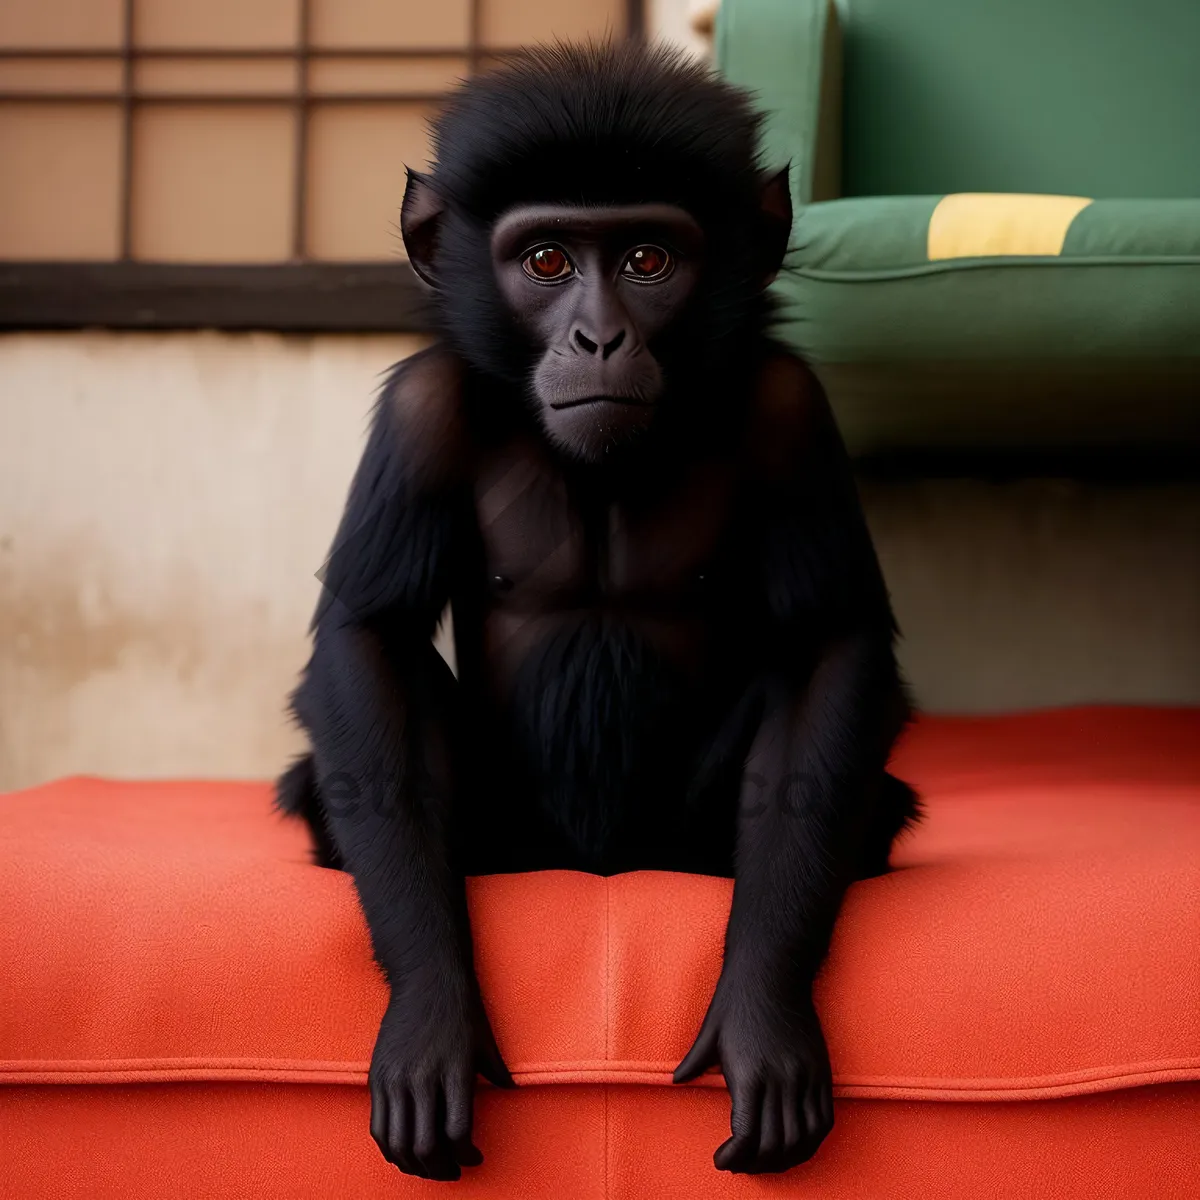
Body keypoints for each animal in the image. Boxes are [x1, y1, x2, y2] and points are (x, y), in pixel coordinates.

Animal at [280, 39, 916, 1180]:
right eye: (544, 262)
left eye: (647, 262)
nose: (599, 336)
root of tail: (597, 866)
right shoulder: (425, 407)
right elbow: (370, 639)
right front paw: (432, 1020)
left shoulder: (789, 407)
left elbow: (828, 646)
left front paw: (764, 1019)